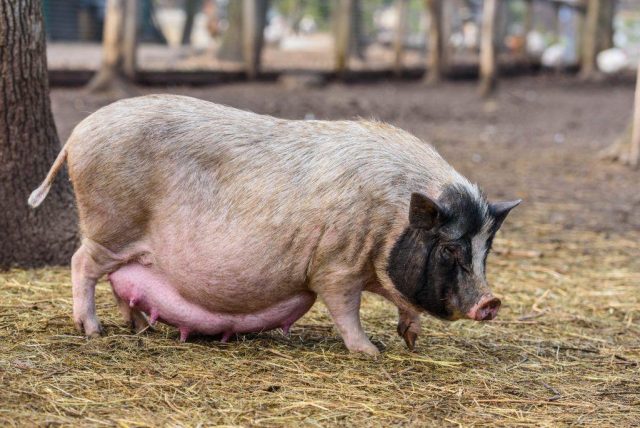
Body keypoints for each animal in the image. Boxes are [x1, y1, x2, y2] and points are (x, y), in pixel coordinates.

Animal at [31, 95, 520, 356]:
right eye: (451, 249)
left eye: (486, 249)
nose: (491, 301)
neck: (391, 218)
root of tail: (78, 133)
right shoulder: (336, 265)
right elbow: (345, 308)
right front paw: (371, 351)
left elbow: (404, 301)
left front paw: (411, 340)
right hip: (108, 223)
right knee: (81, 264)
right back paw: (93, 331)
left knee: (120, 281)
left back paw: (139, 329)